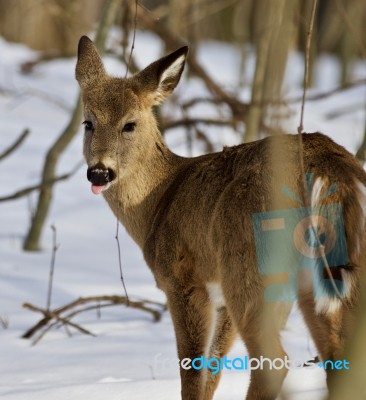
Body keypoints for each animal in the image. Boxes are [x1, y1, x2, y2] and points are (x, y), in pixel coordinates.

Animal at [76, 35, 366, 400]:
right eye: (88, 123)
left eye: (130, 124)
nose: (99, 172)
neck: (159, 199)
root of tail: (329, 169)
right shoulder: (219, 298)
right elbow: (212, 369)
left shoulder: (183, 278)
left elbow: (192, 372)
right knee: (340, 358)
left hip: (251, 262)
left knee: (274, 362)